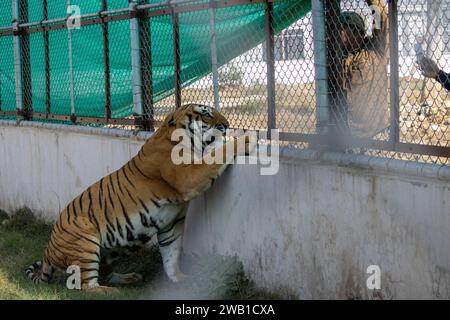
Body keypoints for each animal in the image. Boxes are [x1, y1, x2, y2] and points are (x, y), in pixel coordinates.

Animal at [25, 104, 253, 294]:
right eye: (206, 114)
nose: (227, 125)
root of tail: (48, 250)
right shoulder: (188, 177)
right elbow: (218, 154)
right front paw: (246, 139)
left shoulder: (171, 223)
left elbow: (171, 255)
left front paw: (180, 279)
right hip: (85, 240)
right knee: (84, 285)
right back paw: (111, 292)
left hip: (107, 253)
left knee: (102, 274)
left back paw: (130, 278)